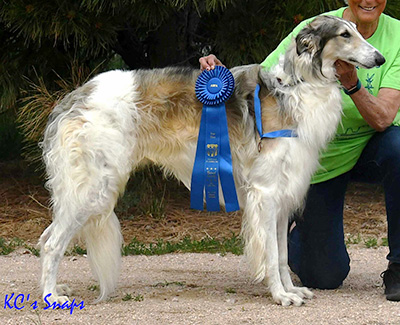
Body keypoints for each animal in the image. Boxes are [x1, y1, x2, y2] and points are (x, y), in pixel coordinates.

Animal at [39, 15, 384, 306]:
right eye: (344, 34)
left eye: (357, 30)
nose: (380, 58)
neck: (295, 87)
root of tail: (73, 98)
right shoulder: (265, 192)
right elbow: (272, 255)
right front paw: (280, 295)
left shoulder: (283, 194)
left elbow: (284, 255)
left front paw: (292, 290)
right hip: (94, 188)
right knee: (52, 243)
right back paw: (50, 297)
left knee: (46, 237)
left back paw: (55, 288)